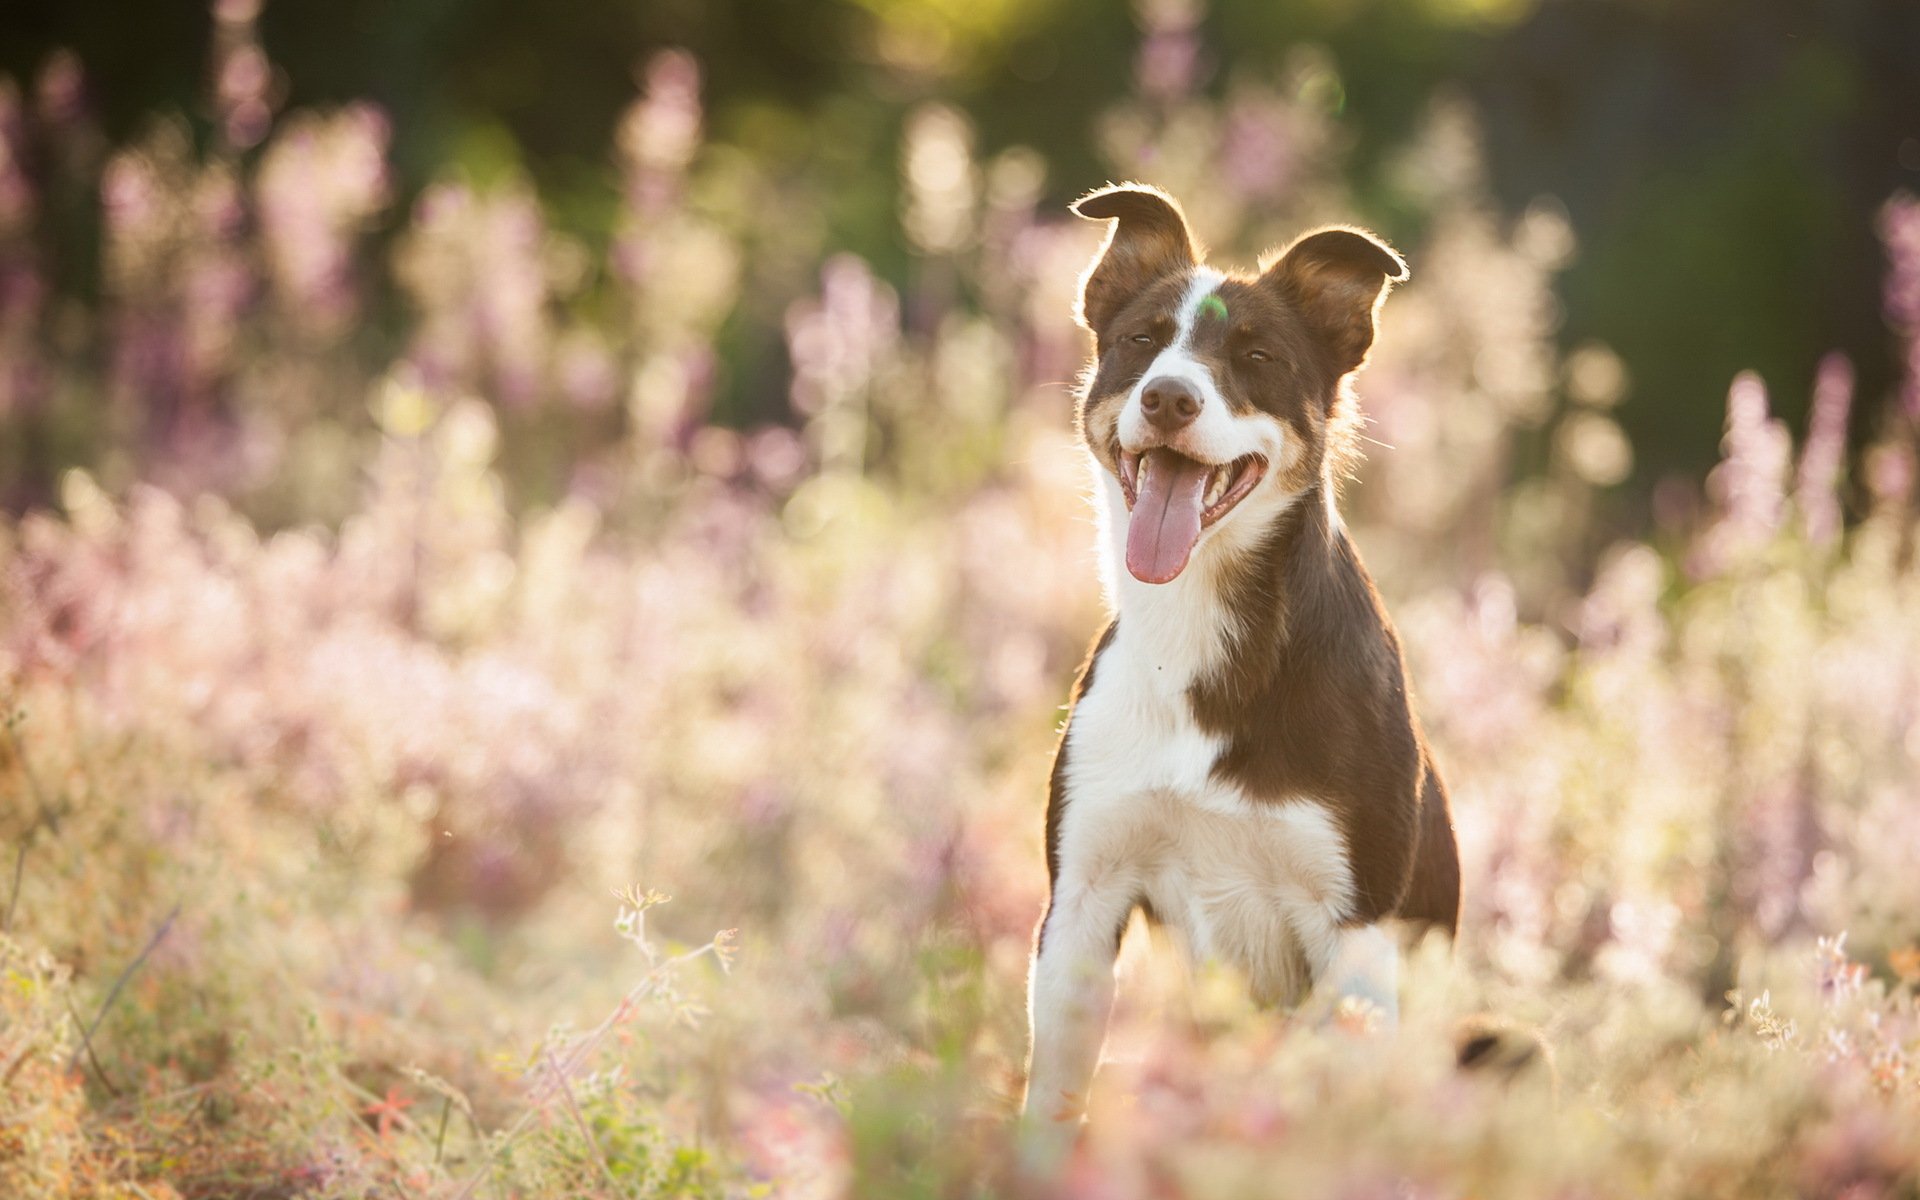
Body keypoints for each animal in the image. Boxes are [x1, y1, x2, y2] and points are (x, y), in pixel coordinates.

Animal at [1021, 182, 1451, 1128]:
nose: (1169, 400)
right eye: (1142, 341)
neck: (1196, 627)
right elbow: (1050, 1109)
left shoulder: (1358, 931)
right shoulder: (1081, 900)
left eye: (1256, 355)